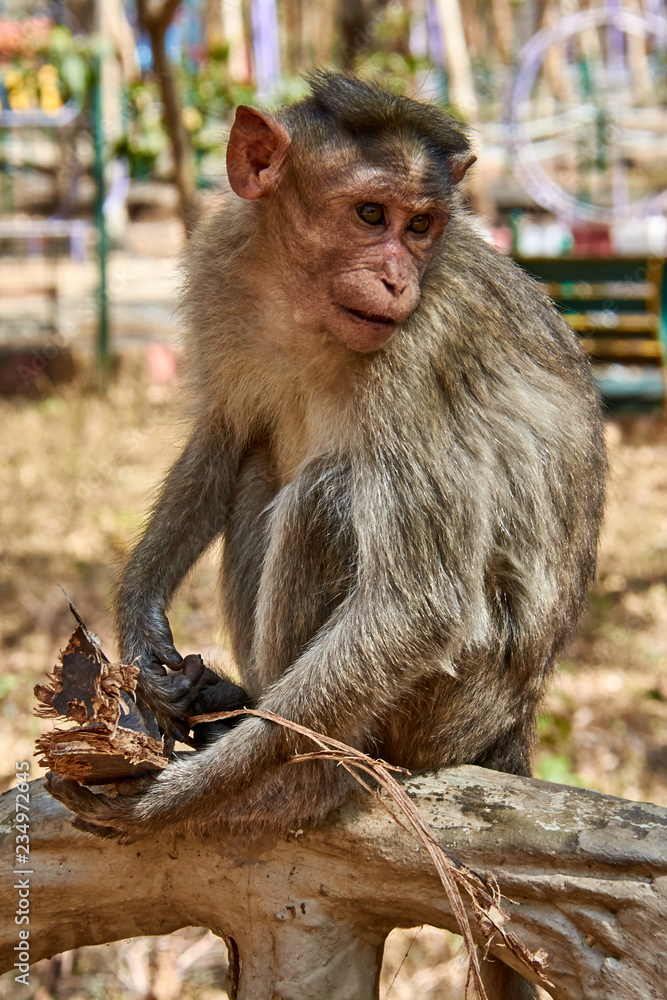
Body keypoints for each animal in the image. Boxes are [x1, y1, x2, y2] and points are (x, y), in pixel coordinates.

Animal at [48, 71, 605, 998]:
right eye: (370, 215)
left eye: (420, 226)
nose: (395, 278)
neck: (298, 303)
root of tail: (514, 717)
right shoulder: (223, 266)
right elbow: (223, 437)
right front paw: (140, 623)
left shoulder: (421, 347)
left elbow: (420, 604)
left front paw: (183, 796)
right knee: (265, 470)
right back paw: (229, 697)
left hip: (447, 710)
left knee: (326, 497)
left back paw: (299, 779)